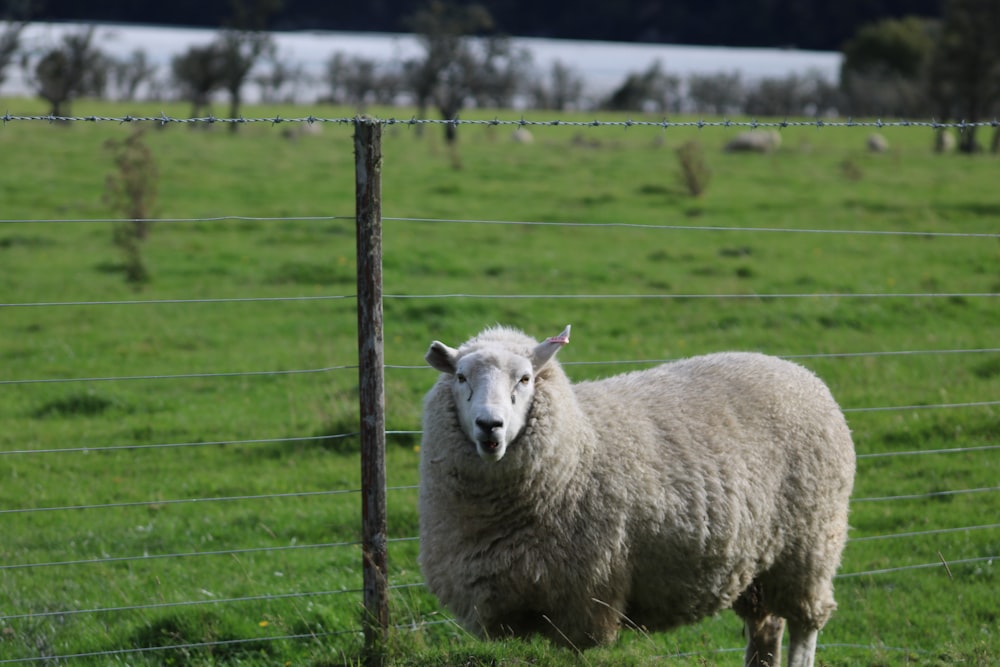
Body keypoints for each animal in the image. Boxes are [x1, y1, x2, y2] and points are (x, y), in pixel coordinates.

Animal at [418, 324, 856, 667]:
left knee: (805, 626)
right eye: (460, 377)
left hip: (810, 546)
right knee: (766, 626)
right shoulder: (503, 607)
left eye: (525, 378)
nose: (489, 425)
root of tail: (797, 371)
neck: (579, 447)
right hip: (762, 563)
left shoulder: (584, 602)